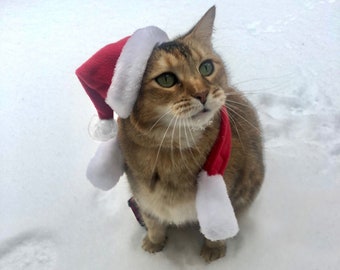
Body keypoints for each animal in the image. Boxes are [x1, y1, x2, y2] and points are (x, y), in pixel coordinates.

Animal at [118, 6, 264, 262]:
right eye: (166, 79)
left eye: (206, 67)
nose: (203, 93)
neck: (173, 152)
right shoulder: (143, 199)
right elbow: (153, 222)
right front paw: (154, 244)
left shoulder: (235, 192)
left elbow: (220, 226)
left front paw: (214, 249)